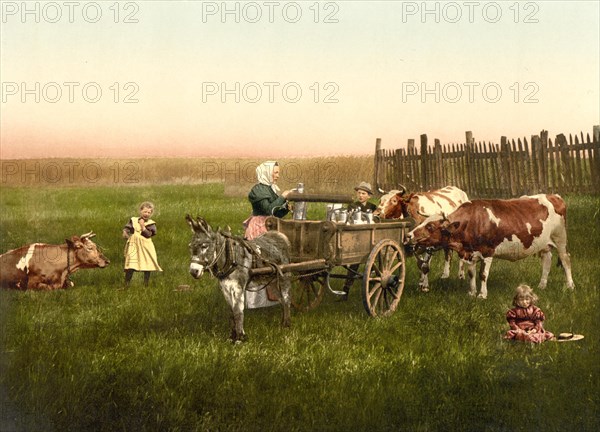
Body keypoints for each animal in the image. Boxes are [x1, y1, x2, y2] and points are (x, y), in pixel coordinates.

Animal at [186, 214, 292, 342]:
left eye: (204, 246)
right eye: (190, 247)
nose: (193, 271)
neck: (230, 257)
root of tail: (280, 235)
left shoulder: (238, 288)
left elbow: (238, 311)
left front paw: (240, 338)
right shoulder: (226, 289)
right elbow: (231, 312)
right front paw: (232, 336)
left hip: (284, 278)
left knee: (286, 299)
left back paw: (286, 325)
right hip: (271, 282)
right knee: (281, 299)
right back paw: (283, 323)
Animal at [406, 195, 576, 298]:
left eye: (430, 227)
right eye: (422, 222)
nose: (408, 235)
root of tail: (554, 196)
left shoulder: (488, 252)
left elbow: (483, 274)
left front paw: (482, 295)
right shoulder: (470, 253)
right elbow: (471, 273)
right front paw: (471, 292)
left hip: (560, 238)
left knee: (565, 260)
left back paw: (570, 286)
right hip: (544, 244)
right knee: (547, 260)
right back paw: (542, 285)